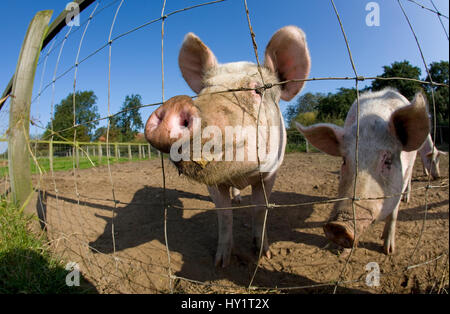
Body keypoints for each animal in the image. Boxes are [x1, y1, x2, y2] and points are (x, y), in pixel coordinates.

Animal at [146, 25, 312, 266]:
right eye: (203, 91)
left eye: (258, 90)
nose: (176, 104)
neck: (242, 175)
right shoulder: (214, 184)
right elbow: (224, 214)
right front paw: (220, 263)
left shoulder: (271, 173)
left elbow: (260, 210)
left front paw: (263, 254)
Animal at [296, 88, 428, 255]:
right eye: (344, 160)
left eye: (388, 161)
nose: (339, 226)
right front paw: (342, 251)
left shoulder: (400, 181)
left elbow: (393, 213)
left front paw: (388, 250)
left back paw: (406, 199)